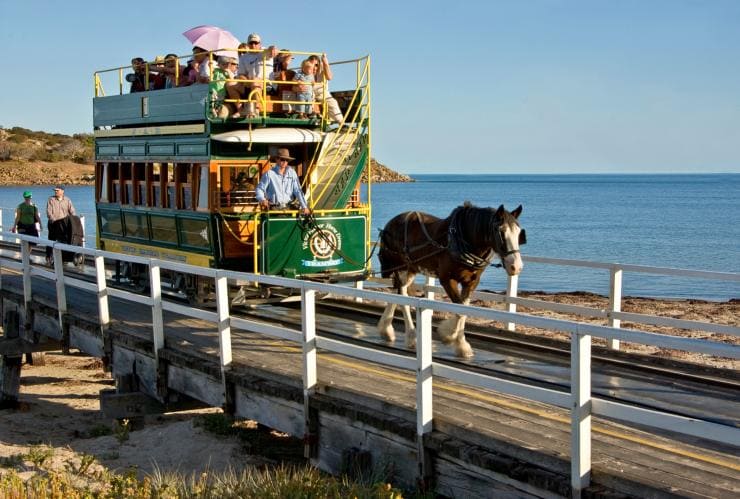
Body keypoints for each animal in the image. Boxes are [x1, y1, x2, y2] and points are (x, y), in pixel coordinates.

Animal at [376, 203, 528, 360]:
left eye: (518, 233)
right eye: (501, 232)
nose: (516, 266)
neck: (463, 239)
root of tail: (390, 223)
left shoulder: (472, 282)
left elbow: (464, 309)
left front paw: (461, 345)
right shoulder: (447, 279)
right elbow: (459, 310)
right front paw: (452, 338)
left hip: (411, 268)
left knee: (398, 293)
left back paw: (386, 330)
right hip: (401, 267)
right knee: (402, 297)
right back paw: (412, 337)